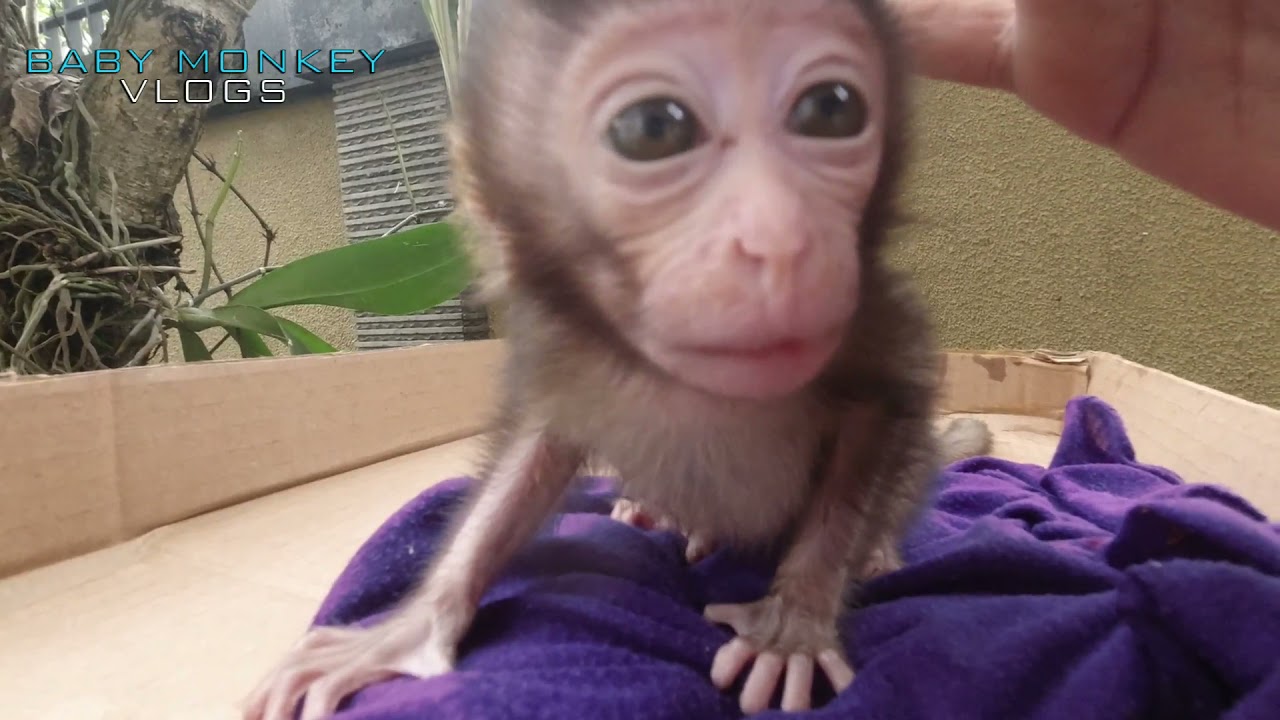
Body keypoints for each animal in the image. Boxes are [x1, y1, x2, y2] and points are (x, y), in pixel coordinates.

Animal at [242, 1, 993, 718]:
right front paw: (410, 627)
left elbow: (879, 412)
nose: (781, 240)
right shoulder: (563, 346)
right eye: (654, 129)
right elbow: (530, 462)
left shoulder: (869, 320)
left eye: (831, 110)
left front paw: (792, 626)